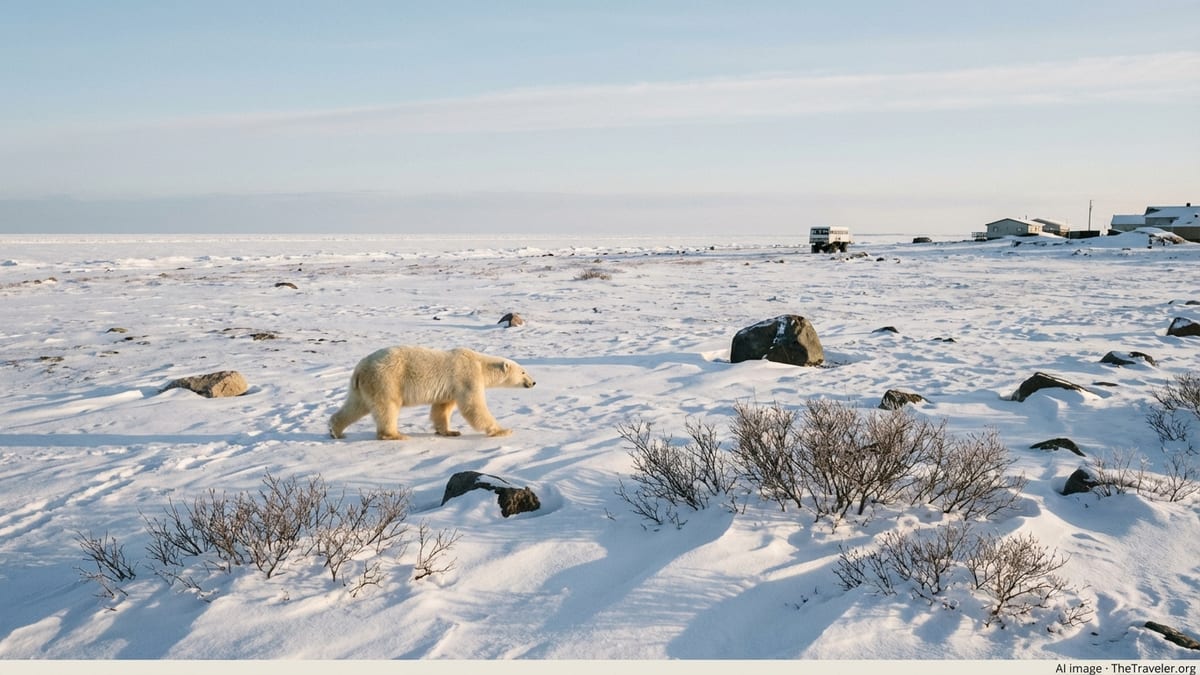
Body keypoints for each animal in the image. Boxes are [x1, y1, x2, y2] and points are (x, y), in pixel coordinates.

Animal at [329, 345, 536, 441]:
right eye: (523, 371)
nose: (533, 382)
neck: (480, 363)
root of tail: (359, 370)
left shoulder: (450, 388)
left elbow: (441, 409)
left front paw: (450, 431)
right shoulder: (467, 377)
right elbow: (473, 406)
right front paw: (503, 430)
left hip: (364, 386)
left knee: (355, 406)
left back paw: (335, 431)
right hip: (386, 379)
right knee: (387, 407)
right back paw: (396, 435)